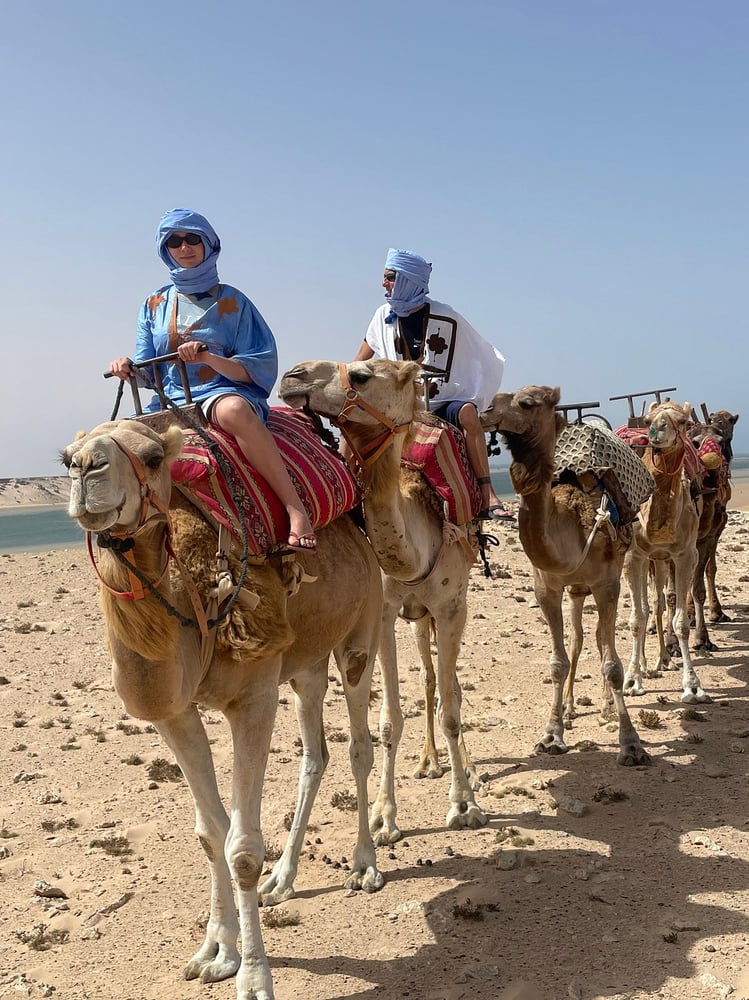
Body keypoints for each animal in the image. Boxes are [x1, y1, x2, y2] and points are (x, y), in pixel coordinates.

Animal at [62, 417, 384, 1000]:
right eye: (65, 458)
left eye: (152, 457)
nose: (86, 468)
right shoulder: (174, 714)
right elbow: (211, 834)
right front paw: (216, 951)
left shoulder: (252, 697)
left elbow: (242, 849)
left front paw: (254, 978)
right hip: (304, 665)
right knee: (315, 755)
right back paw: (284, 879)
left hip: (361, 631)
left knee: (358, 746)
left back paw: (364, 865)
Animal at [279, 358, 488, 844]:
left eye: (360, 375)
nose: (293, 375)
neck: (417, 550)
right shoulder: (388, 612)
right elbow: (390, 719)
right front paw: (383, 818)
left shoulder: (453, 607)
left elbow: (453, 710)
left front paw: (464, 805)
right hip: (418, 618)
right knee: (430, 678)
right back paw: (429, 761)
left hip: (450, 610)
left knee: (449, 687)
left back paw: (466, 768)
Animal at [478, 385, 650, 765]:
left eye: (526, 403)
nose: (484, 411)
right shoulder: (547, 587)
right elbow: (558, 661)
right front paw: (551, 735)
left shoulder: (607, 583)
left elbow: (612, 664)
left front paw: (630, 743)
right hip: (576, 589)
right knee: (580, 639)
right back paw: (572, 708)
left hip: (614, 570)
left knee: (605, 636)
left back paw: (607, 706)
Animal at [621, 399, 710, 703]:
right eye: (648, 419)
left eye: (682, 421)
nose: (656, 432)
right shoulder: (633, 555)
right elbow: (637, 619)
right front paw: (631, 680)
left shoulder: (685, 555)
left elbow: (681, 621)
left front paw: (693, 686)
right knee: (647, 606)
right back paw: (645, 665)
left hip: (660, 560)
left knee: (658, 602)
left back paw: (663, 660)